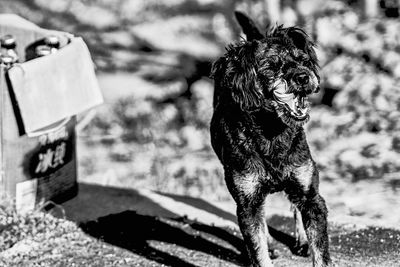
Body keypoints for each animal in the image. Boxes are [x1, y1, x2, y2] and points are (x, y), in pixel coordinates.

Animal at [209, 11, 332, 266]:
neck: (272, 133)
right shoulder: (247, 204)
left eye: (303, 60)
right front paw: (265, 248)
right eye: (271, 67)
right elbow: (258, 249)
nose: (304, 77)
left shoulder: (313, 198)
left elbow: (321, 250)